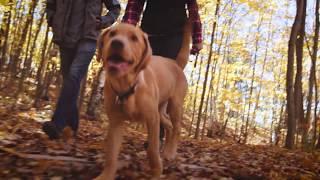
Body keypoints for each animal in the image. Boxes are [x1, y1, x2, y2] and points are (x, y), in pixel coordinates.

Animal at [95, 20, 190, 179]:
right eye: (112, 34)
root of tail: (175, 63)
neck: (127, 87)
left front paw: (156, 172)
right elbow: (111, 155)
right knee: (169, 125)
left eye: (134, 38)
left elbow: (152, 149)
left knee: (177, 128)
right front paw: (106, 175)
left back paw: (170, 152)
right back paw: (166, 150)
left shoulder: (152, 119)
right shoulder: (115, 122)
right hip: (160, 110)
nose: (116, 43)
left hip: (174, 105)